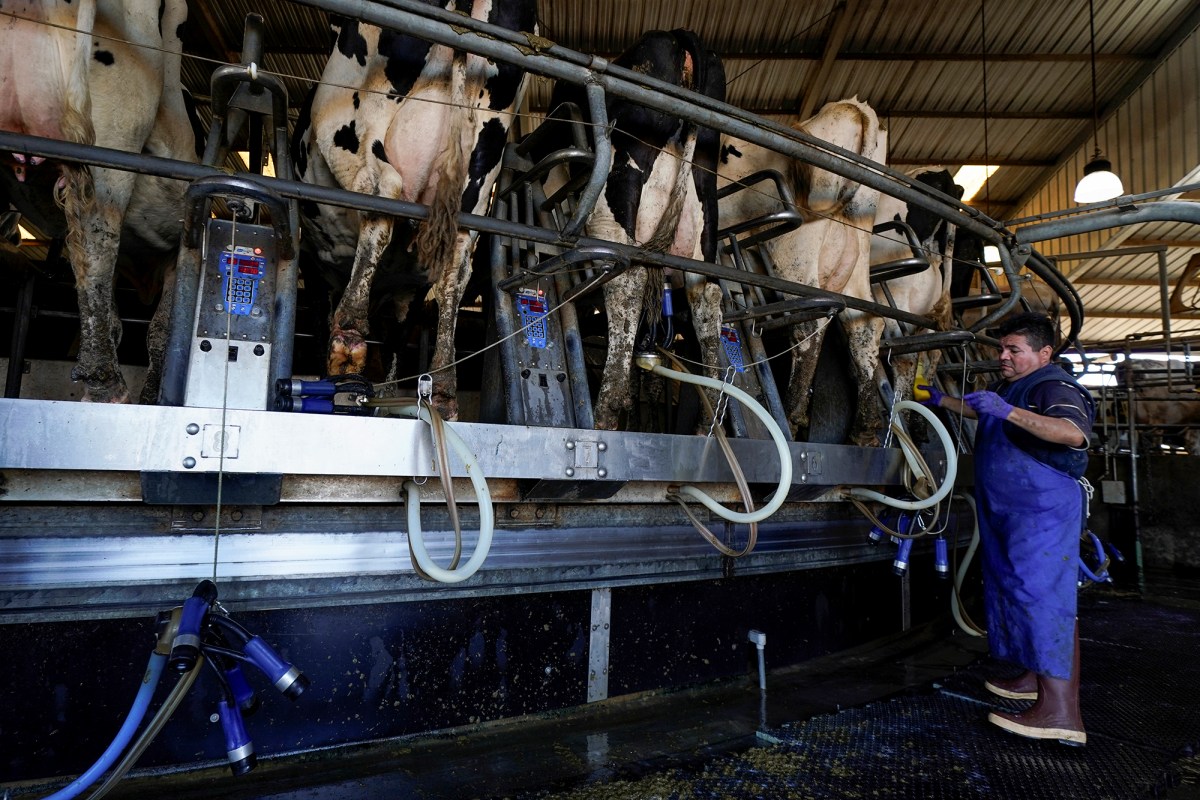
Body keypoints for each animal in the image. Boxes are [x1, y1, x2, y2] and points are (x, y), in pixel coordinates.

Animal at [290, 1, 535, 419]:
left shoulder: (313, 262)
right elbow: (397, 344)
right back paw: (444, 388)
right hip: (483, 153)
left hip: (353, 114)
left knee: (381, 187)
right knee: (458, 257)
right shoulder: (412, 291)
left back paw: (349, 335)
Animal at [715, 97, 888, 448]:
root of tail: (851, 108)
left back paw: (792, 416)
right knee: (864, 324)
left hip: (793, 248)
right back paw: (864, 430)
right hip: (854, 254)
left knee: (810, 317)